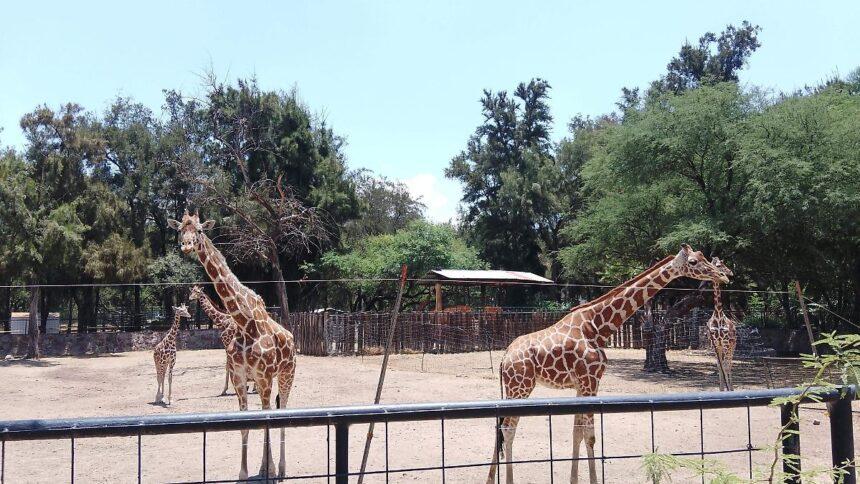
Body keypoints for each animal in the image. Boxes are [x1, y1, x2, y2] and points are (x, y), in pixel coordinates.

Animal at [169, 212, 295, 480]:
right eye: (180, 230)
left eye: (199, 230)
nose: (186, 246)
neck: (244, 322)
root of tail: (291, 337)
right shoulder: (240, 377)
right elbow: (245, 424)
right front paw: (245, 472)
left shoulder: (264, 377)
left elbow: (268, 419)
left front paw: (269, 470)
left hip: (286, 374)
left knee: (284, 410)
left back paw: (280, 469)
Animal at [486, 245, 730, 484]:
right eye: (693, 262)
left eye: (704, 257)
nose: (723, 276)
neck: (597, 327)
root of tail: (504, 358)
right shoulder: (590, 381)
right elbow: (590, 436)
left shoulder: (581, 385)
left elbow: (577, 432)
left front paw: (574, 480)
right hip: (521, 386)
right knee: (508, 428)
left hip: (514, 388)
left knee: (501, 427)